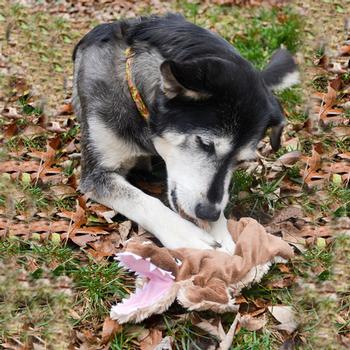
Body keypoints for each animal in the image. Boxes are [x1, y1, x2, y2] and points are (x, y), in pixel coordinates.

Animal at [72, 13, 300, 252]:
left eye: (241, 161)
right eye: (205, 143)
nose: (208, 213)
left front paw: (222, 233)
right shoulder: (96, 175)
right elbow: (143, 200)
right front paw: (188, 236)